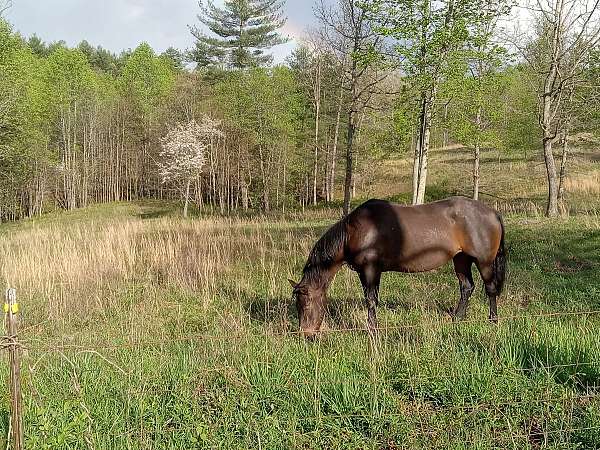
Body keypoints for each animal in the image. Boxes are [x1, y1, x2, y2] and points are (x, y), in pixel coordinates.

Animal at [290, 197, 506, 338]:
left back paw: (493, 320)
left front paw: (373, 330)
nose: (306, 335)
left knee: (490, 289)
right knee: (466, 287)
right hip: (461, 259)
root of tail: (493, 213)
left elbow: (371, 300)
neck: (355, 232)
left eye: (305, 304)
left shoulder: (371, 269)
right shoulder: (364, 272)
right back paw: (458, 318)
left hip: (484, 261)